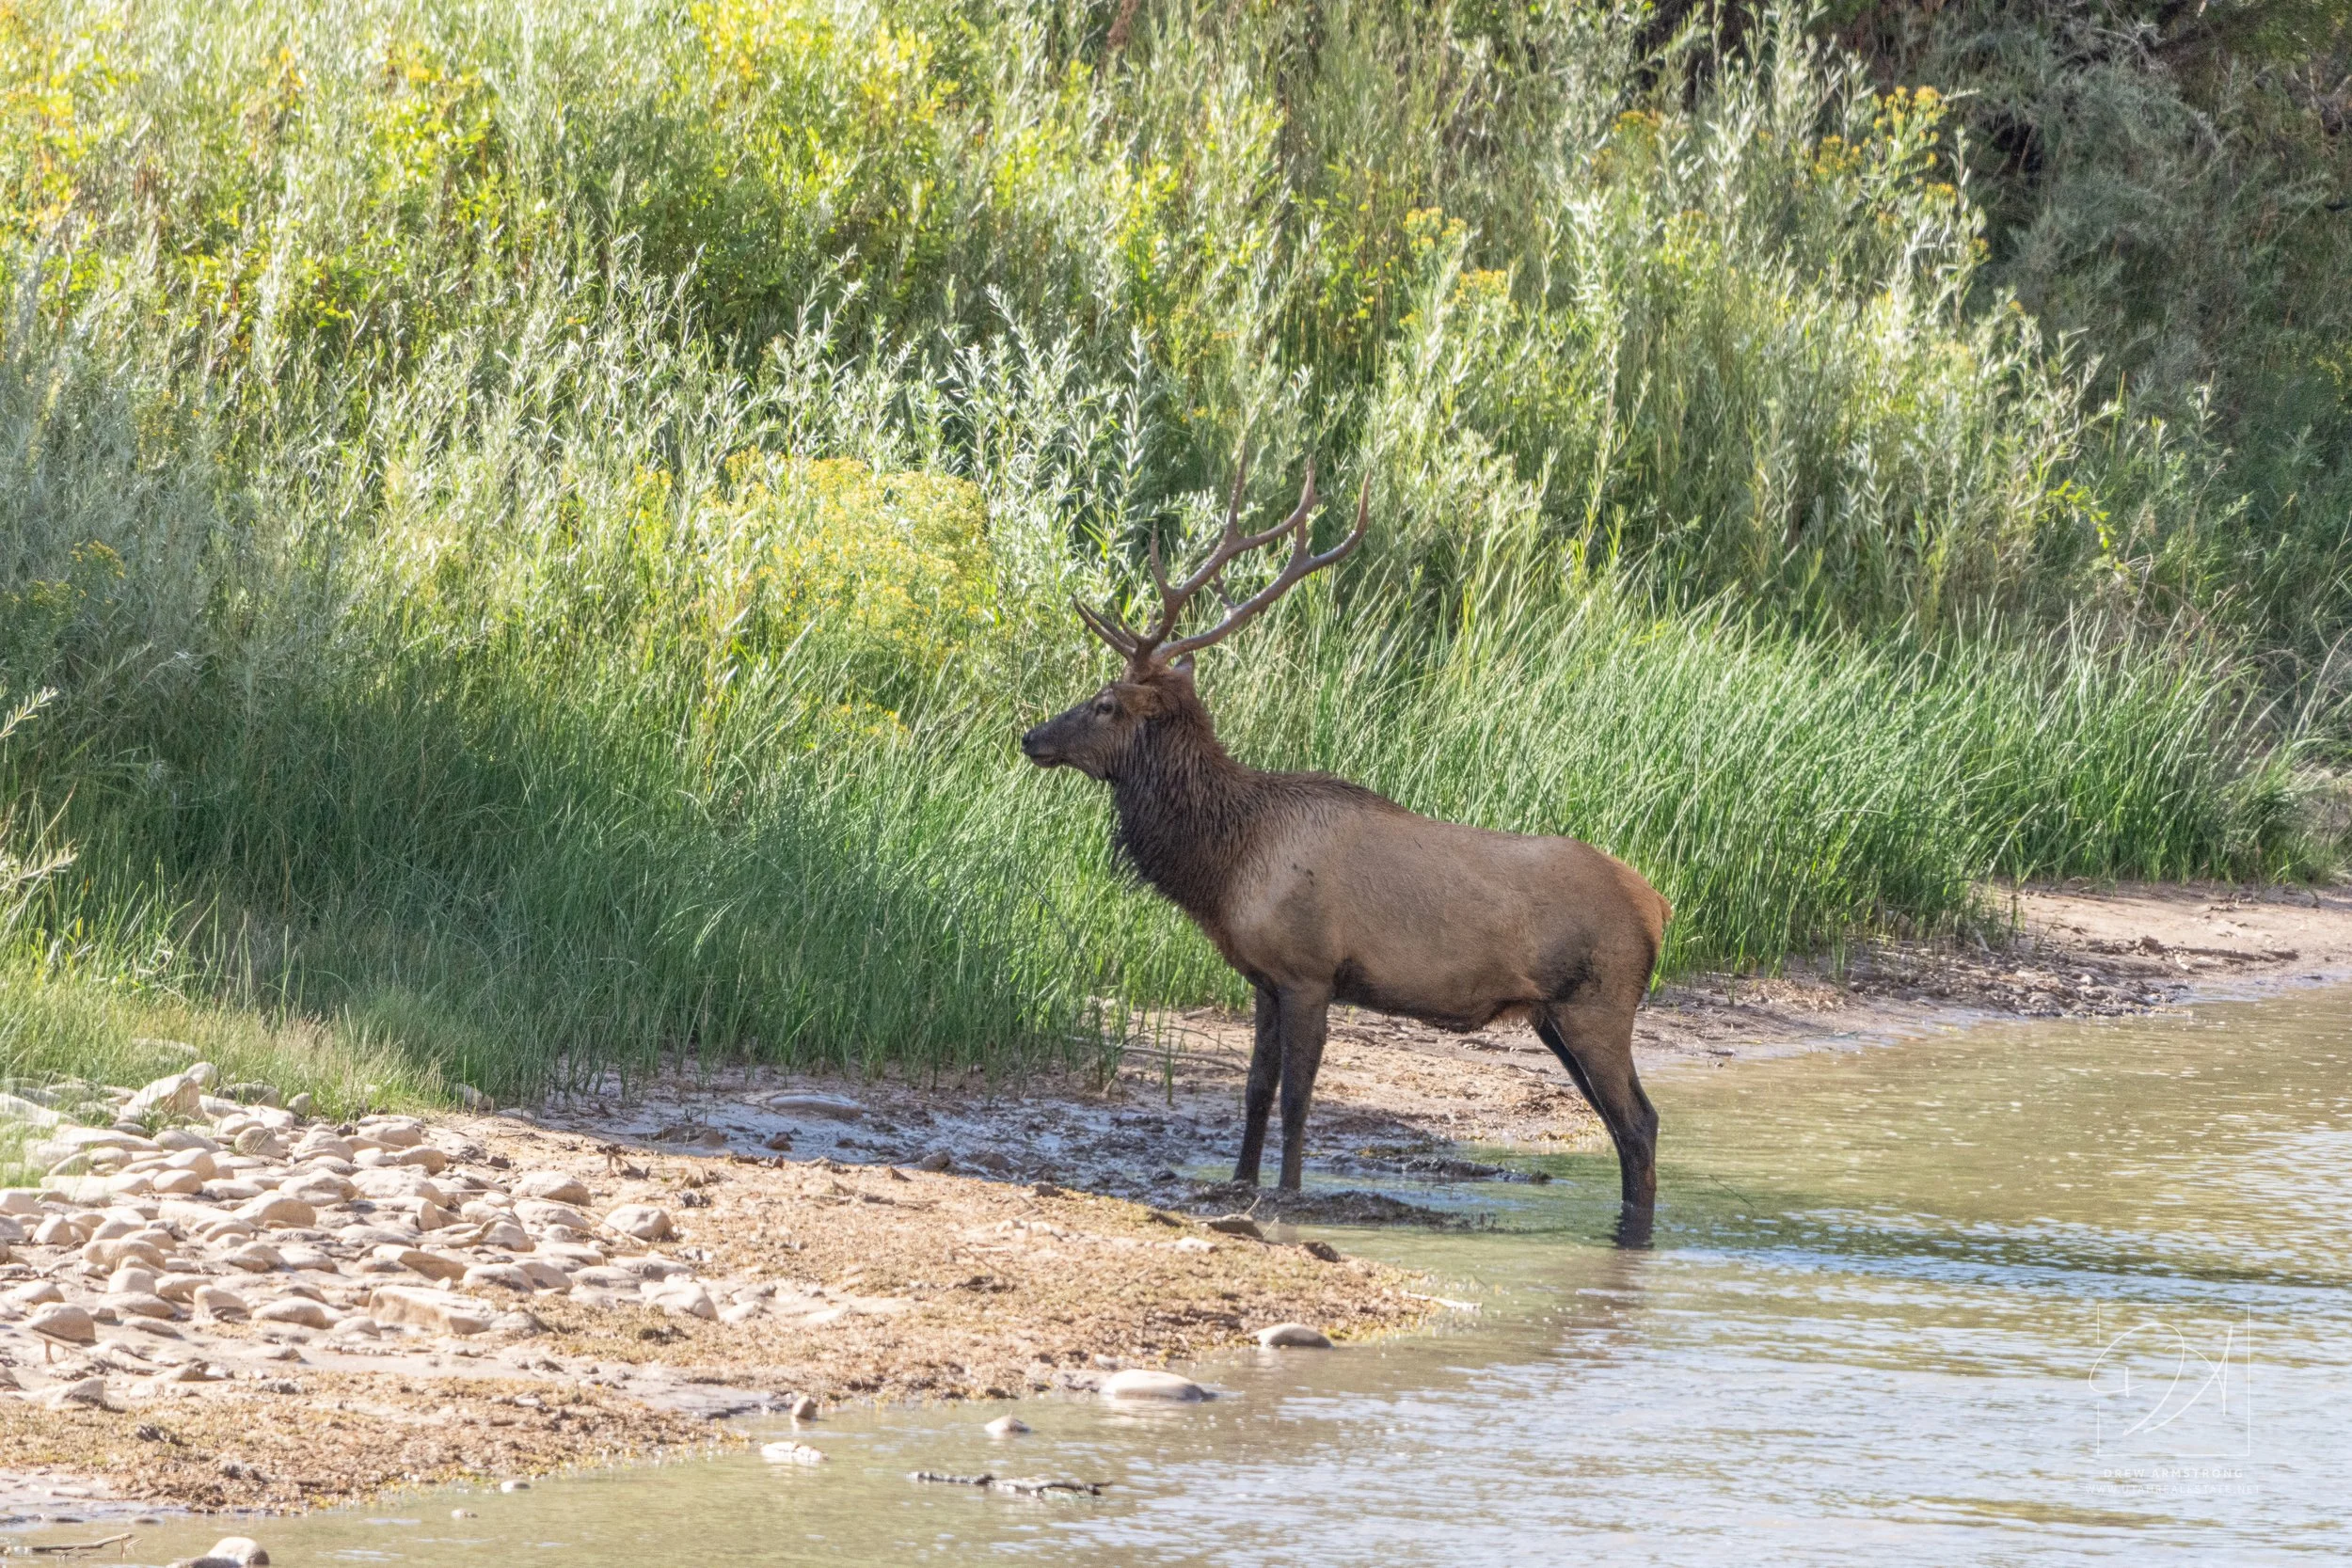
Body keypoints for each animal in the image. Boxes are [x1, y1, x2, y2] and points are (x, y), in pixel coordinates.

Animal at [1019, 459, 1674, 1230]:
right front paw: (1238, 1180)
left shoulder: (1309, 970)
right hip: (1556, 1017)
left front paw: (1288, 1191)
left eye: (1105, 703)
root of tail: (1658, 906)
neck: (1226, 865)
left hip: (1598, 1004)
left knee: (1639, 1122)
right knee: (1623, 1124)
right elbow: (1255, 1088)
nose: (1031, 736)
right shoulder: (1263, 978)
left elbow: (1299, 1094)